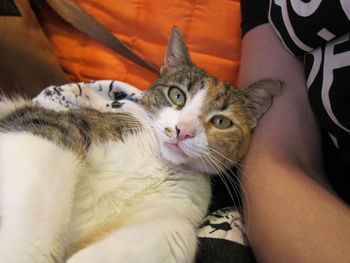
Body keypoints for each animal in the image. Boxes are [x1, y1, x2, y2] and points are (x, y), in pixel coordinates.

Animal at [0, 27, 282, 262]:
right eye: (176, 95)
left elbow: (179, 234)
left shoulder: (174, 211)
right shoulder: (55, 128)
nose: (183, 131)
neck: (161, 165)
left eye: (221, 121)